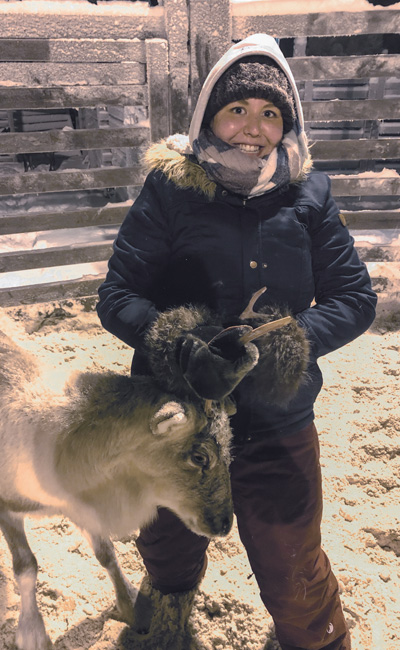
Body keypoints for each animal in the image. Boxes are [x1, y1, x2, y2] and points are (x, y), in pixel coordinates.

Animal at [0, 332, 234, 648]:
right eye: (200, 457)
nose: (224, 524)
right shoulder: (9, 506)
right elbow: (26, 566)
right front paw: (32, 633)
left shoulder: (82, 506)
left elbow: (107, 553)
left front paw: (133, 606)